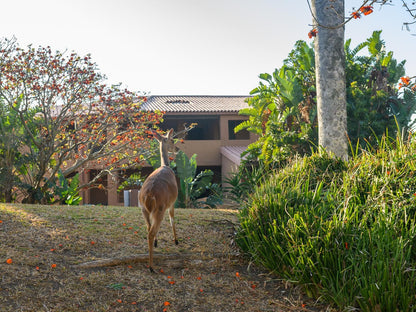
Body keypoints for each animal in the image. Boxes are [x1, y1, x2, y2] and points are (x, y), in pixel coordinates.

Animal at [140, 128, 179, 272]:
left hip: (143, 209)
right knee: (151, 232)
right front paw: (176, 240)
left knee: (148, 229)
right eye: (172, 140)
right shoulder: (172, 202)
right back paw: (151, 267)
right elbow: (172, 219)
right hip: (160, 208)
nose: (177, 148)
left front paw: (158, 242)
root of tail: (148, 196)